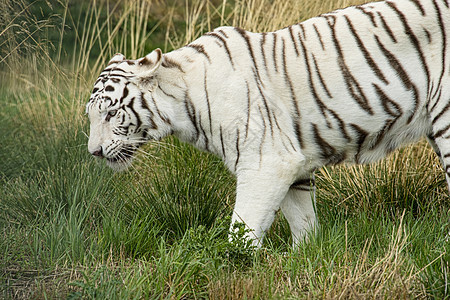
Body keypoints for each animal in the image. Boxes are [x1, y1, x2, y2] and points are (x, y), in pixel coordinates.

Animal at [86, 0, 450, 247]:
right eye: (91, 116)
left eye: (109, 114)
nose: (94, 152)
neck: (181, 103)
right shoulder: (295, 164)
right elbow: (302, 221)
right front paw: (306, 258)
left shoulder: (265, 161)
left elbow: (242, 231)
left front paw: (233, 267)